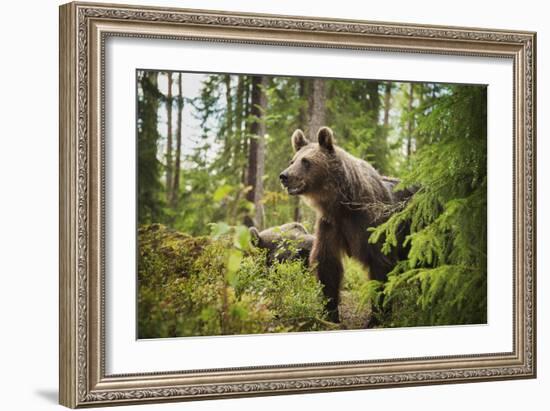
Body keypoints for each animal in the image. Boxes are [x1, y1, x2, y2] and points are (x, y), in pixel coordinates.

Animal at [280, 128, 414, 326]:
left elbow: (381, 264)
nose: (284, 176)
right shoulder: (331, 225)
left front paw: (376, 317)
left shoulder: (372, 225)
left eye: (306, 161)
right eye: (292, 160)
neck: (343, 203)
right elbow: (327, 263)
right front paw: (330, 313)